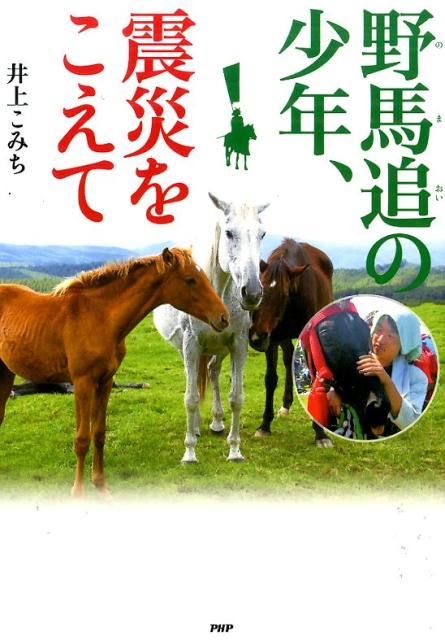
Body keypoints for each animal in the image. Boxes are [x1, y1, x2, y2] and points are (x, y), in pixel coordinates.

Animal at [0, 248, 229, 497]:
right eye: (190, 280)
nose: (223, 317)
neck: (100, 317)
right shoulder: (82, 384)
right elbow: (82, 438)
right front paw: (78, 492)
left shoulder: (106, 382)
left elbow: (99, 434)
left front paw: (101, 486)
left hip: (6, 373)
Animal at [154, 193, 267, 463]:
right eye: (229, 233)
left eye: (262, 234)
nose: (252, 292)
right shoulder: (191, 343)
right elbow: (191, 398)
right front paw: (189, 452)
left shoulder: (238, 343)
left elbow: (236, 398)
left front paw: (235, 450)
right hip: (184, 349)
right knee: (195, 380)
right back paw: (195, 428)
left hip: (220, 348)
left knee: (213, 371)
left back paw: (216, 422)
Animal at [248, 238, 333, 447]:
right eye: (260, 291)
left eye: (283, 295)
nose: (255, 337)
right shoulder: (272, 339)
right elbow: (271, 379)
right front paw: (264, 425)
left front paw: (320, 433)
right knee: (288, 358)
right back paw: (286, 405)